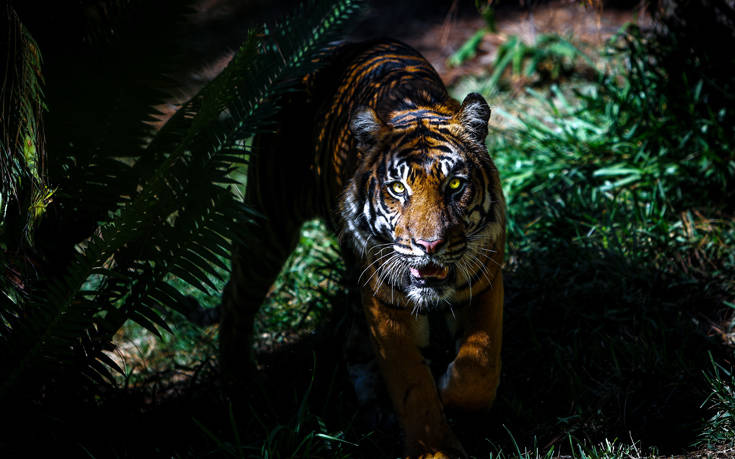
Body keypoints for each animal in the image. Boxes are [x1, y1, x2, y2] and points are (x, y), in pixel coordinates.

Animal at [220, 38, 506, 459]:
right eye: (398, 189)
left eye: (455, 184)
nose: (430, 245)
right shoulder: (386, 305)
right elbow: (412, 388)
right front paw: (435, 449)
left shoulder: (484, 281)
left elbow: (481, 359)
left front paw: (453, 397)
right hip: (267, 226)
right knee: (234, 297)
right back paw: (240, 388)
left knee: (352, 344)